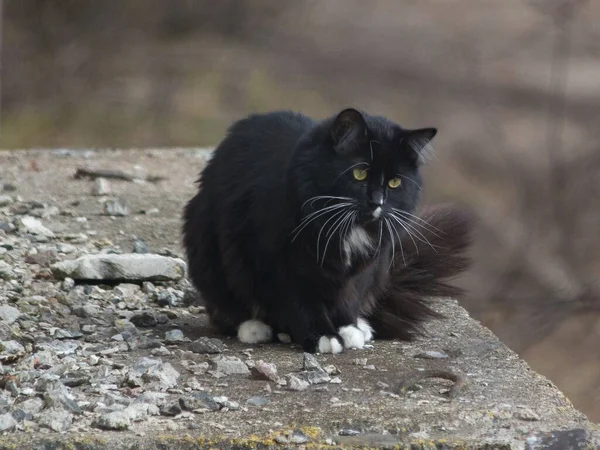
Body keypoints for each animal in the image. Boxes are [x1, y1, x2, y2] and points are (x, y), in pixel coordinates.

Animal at [180, 107, 472, 354]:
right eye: (359, 174)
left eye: (395, 182)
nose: (377, 202)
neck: (346, 226)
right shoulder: (279, 264)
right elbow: (299, 302)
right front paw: (323, 336)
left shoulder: (363, 268)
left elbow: (347, 297)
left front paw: (348, 329)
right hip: (208, 251)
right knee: (225, 307)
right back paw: (254, 328)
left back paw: (362, 326)